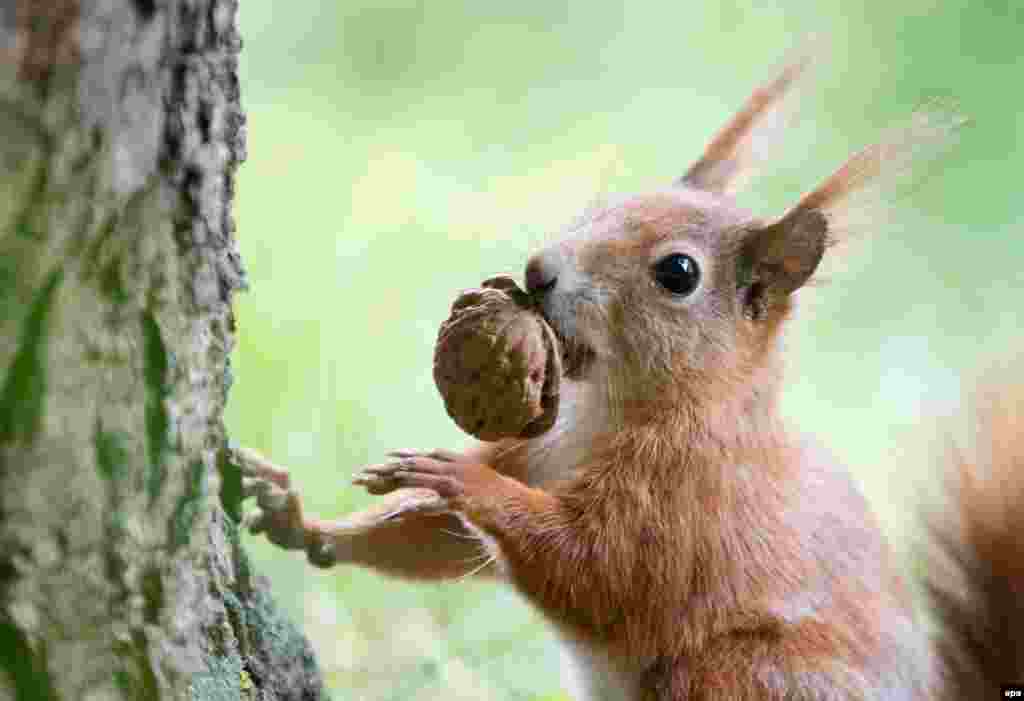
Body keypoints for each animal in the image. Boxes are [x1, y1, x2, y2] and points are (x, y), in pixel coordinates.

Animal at [239, 56, 1024, 699]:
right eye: (604, 206)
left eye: (677, 273)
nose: (538, 270)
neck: (605, 409)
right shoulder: (538, 446)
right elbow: (437, 541)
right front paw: (302, 520)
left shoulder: (680, 499)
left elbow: (592, 568)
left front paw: (460, 477)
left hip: (741, 673)